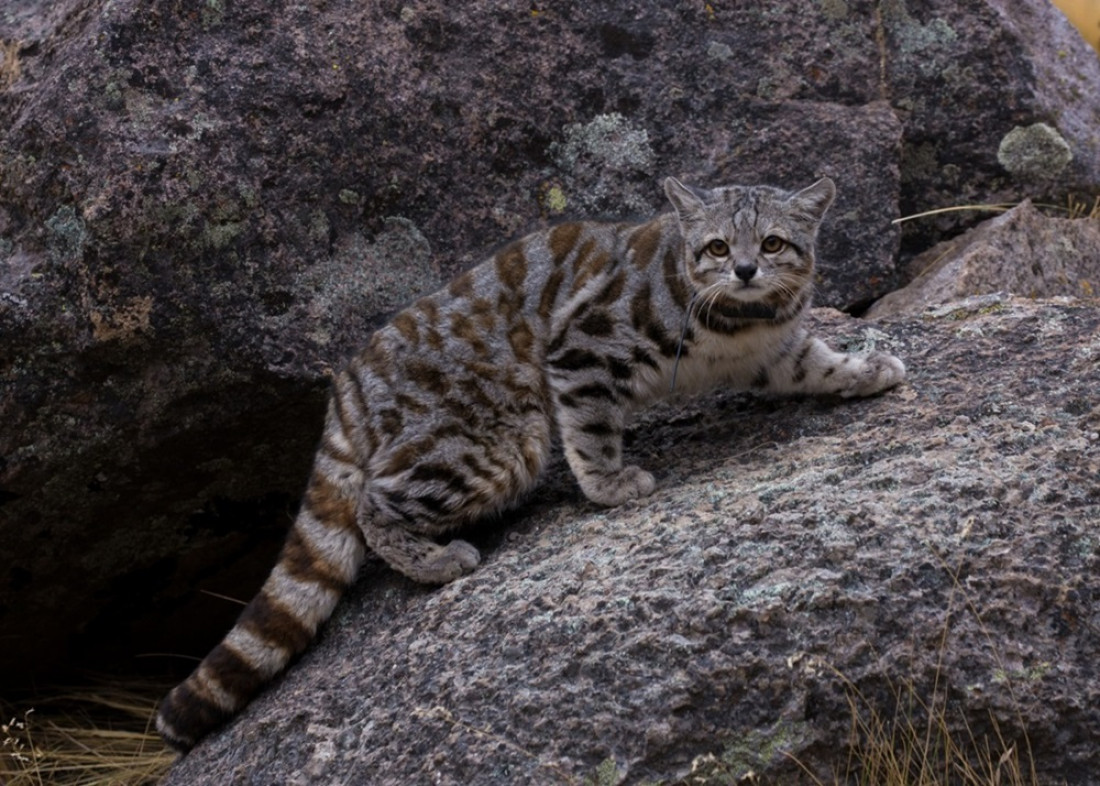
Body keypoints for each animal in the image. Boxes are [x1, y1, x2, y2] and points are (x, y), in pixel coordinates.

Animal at [159, 176, 906, 751]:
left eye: (773, 243)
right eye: (718, 246)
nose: (746, 270)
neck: (737, 320)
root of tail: (346, 386)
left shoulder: (776, 352)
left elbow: (817, 363)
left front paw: (866, 369)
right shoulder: (582, 346)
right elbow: (590, 430)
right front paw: (610, 484)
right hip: (494, 439)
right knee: (374, 501)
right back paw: (435, 560)